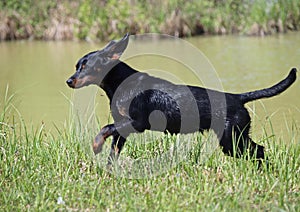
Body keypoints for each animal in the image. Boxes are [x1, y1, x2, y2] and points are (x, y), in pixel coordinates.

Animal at [67, 33, 296, 166]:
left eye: (86, 67)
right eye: (77, 66)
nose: (69, 81)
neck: (121, 83)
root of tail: (238, 98)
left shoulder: (137, 122)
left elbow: (105, 128)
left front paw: (96, 145)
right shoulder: (123, 128)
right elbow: (112, 153)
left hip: (231, 139)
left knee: (258, 151)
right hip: (236, 138)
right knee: (260, 150)